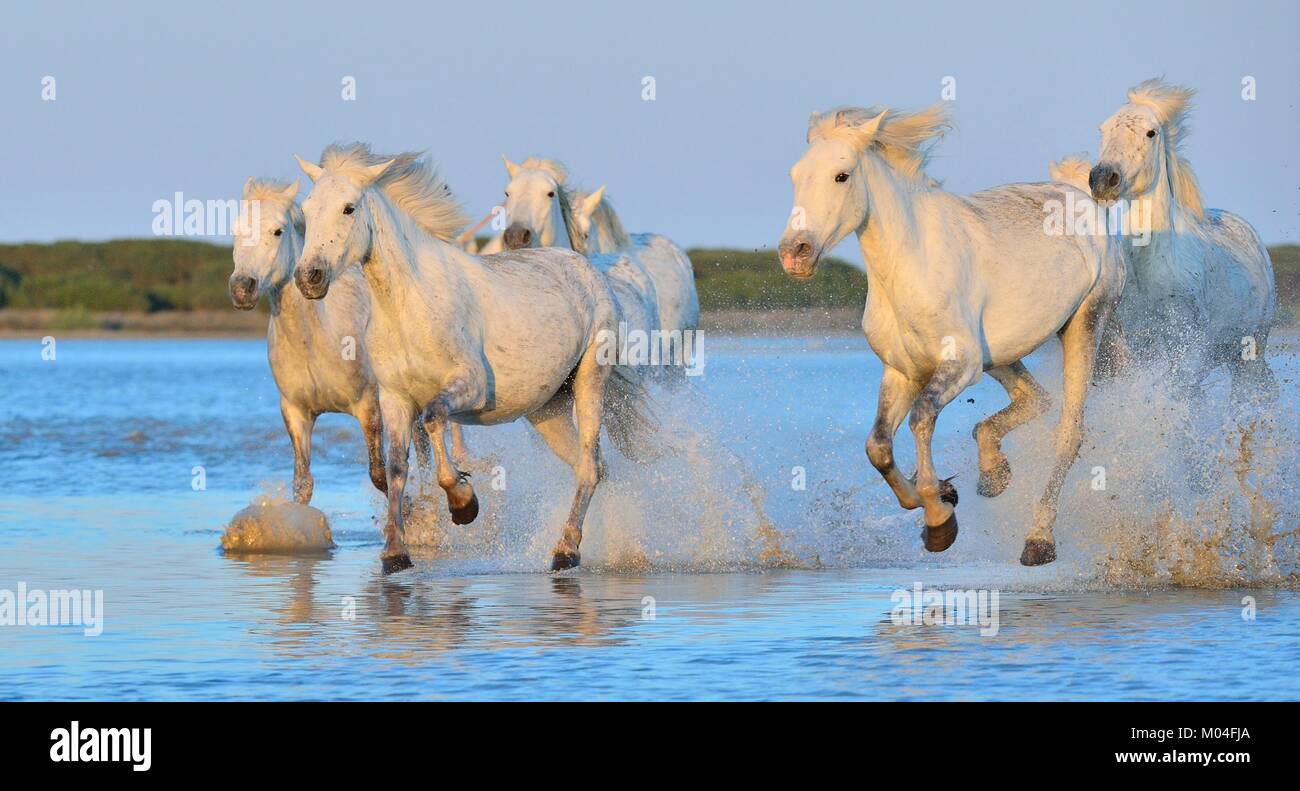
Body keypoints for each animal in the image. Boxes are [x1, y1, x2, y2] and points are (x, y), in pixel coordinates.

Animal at [228, 177, 437, 504]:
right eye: (236, 230)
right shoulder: (296, 413)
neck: (315, 341)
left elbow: (380, 475)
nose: (241, 289)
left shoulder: (368, 406)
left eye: (277, 231)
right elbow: (303, 484)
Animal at [292, 143, 625, 573]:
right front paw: (395, 554)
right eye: (307, 208)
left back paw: (566, 550)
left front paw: (464, 504)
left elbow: (435, 419)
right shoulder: (395, 398)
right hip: (547, 408)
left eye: (349, 208)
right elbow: (397, 468)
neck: (408, 303)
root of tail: (587, 268)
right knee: (594, 467)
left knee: (589, 466)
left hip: (589, 383)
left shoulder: (469, 386)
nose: (309, 278)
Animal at [778, 105, 1126, 566]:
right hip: (1000, 354)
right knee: (1035, 398)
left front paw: (939, 518)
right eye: (795, 175)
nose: (794, 254)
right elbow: (878, 446)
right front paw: (943, 496)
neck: (911, 265)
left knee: (1068, 434)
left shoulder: (959, 365)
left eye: (842, 175)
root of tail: (1082, 196)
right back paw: (993, 474)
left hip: (1084, 324)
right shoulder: (902, 371)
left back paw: (1039, 539)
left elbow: (921, 417)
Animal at [1088, 79, 1277, 399]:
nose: (1102, 179)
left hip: (1249, 353)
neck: (1152, 272)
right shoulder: (1138, 345)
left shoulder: (1188, 350)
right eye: (1103, 129)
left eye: (1151, 132)